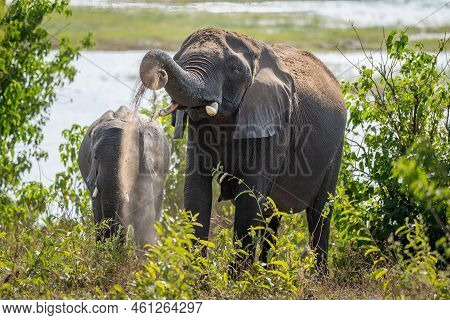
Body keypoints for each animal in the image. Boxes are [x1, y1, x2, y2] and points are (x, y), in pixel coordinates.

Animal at [139, 28, 346, 272]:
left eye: (234, 69)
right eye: (178, 60)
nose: (158, 72)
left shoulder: (274, 123)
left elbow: (250, 198)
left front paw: (235, 279)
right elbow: (196, 193)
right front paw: (197, 277)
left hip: (336, 149)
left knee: (319, 214)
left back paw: (318, 276)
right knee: (272, 216)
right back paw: (266, 274)